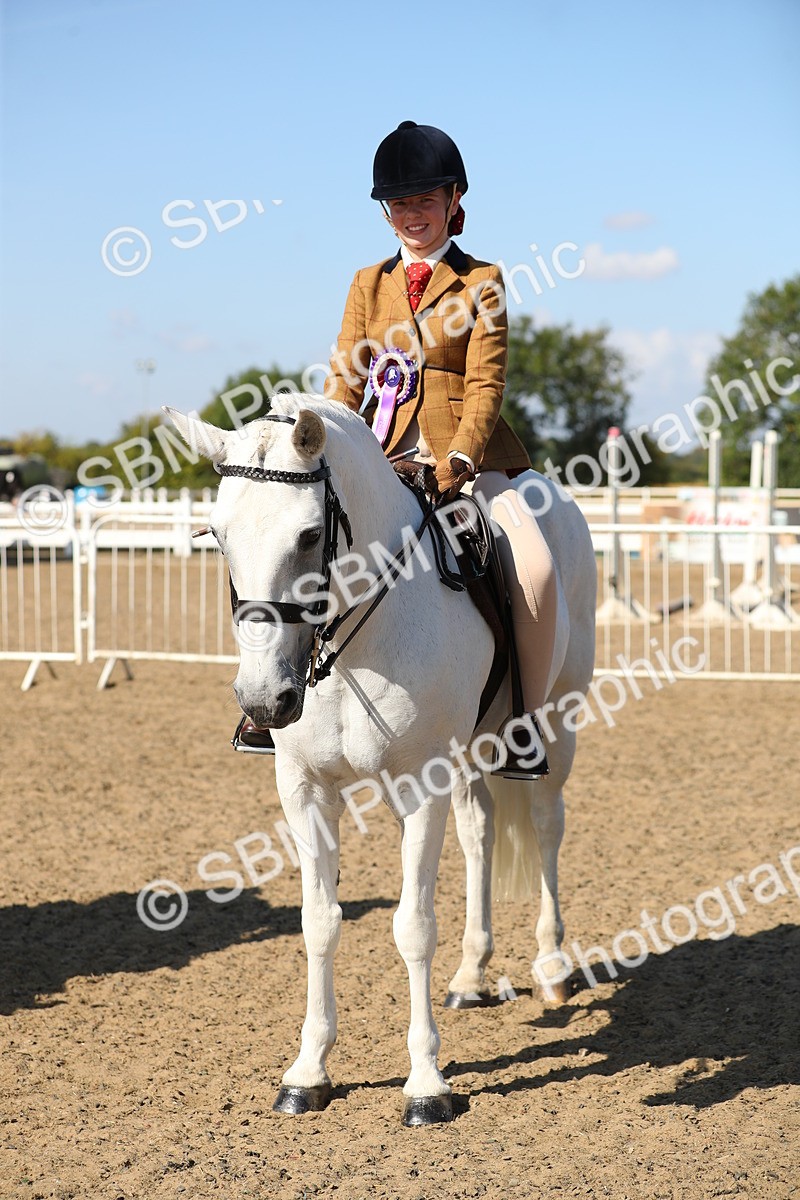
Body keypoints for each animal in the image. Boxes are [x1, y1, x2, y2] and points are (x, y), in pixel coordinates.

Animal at [166, 393, 596, 1127]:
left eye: (309, 535)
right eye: (218, 536)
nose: (264, 699)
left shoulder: (419, 786)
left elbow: (412, 926)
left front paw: (427, 1084)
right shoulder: (306, 789)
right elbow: (319, 923)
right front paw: (308, 1072)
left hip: (555, 727)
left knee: (545, 828)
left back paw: (552, 969)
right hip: (469, 753)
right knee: (480, 834)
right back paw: (471, 975)